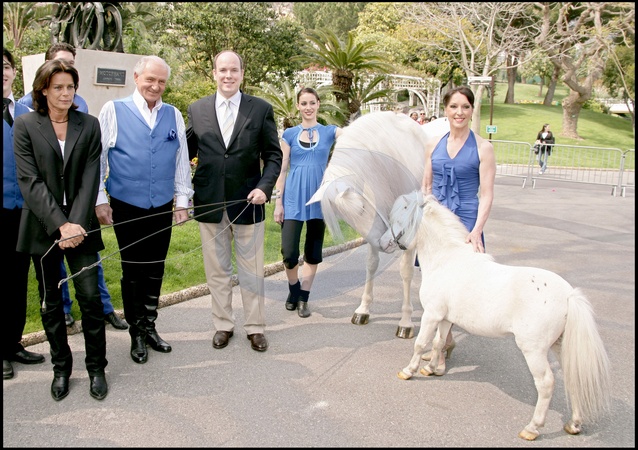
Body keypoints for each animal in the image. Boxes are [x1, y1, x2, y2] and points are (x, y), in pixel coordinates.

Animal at [309, 111, 447, 338]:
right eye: (344, 217)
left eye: (362, 208)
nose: (385, 245)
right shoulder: (375, 234)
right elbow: (371, 264)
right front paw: (363, 309)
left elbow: (406, 271)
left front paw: (406, 321)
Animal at [381, 190, 611, 440]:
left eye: (396, 218)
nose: (382, 243)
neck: (447, 260)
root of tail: (569, 295)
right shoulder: (445, 318)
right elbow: (438, 343)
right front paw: (431, 368)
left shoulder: (431, 315)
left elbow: (420, 344)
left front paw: (408, 371)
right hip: (560, 345)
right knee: (572, 377)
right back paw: (574, 424)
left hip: (534, 350)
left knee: (546, 384)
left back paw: (532, 428)